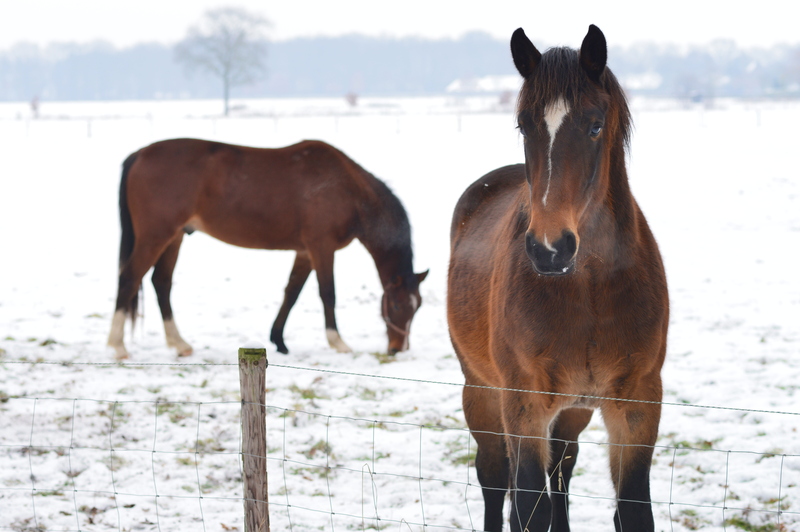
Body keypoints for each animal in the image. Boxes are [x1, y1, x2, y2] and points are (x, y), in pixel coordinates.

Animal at [107, 138, 428, 360]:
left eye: (418, 306)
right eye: (396, 305)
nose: (399, 348)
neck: (346, 188)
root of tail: (140, 154)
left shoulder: (305, 252)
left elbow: (292, 293)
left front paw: (279, 340)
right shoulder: (322, 247)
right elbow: (328, 294)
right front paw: (338, 342)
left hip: (174, 237)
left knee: (161, 282)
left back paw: (179, 344)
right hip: (155, 236)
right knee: (130, 278)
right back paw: (118, 346)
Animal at [447, 26, 669, 532]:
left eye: (594, 125)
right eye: (523, 125)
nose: (550, 249)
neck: (590, 291)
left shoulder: (638, 405)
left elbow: (631, 509)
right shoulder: (524, 405)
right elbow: (528, 506)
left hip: (572, 412)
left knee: (561, 474)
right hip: (481, 393)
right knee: (495, 480)